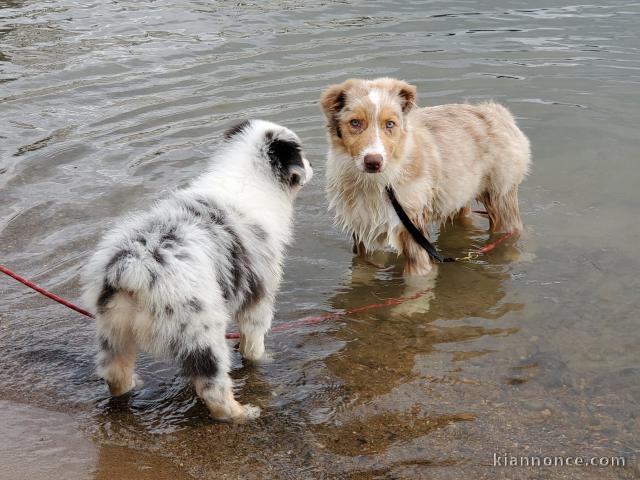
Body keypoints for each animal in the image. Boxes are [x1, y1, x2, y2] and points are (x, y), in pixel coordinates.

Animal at [82, 120, 312, 420]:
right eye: (301, 153)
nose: (312, 165)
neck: (246, 178)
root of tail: (133, 269)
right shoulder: (258, 297)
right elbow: (253, 346)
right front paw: (264, 359)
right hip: (202, 334)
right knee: (213, 390)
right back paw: (242, 413)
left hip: (113, 332)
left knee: (115, 374)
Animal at [320, 78, 528, 274]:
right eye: (355, 123)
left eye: (390, 124)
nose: (373, 161)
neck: (378, 183)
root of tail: (497, 111)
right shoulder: (363, 230)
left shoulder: (413, 230)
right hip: (457, 195)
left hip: (501, 197)